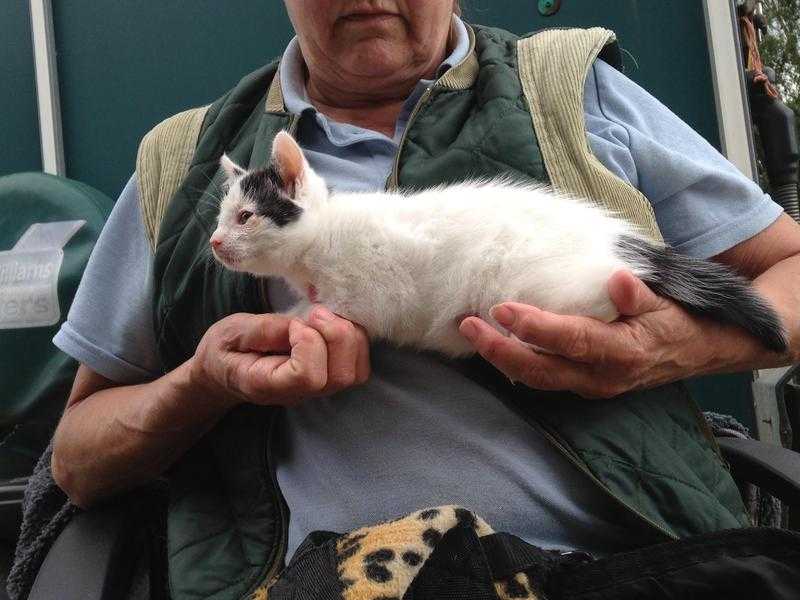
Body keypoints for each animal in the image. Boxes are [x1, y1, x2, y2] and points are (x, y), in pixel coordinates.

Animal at [208, 131, 788, 356]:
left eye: (245, 216)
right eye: (220, 217)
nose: (214, 242)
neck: (322, 239)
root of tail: (620, 240)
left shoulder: (372, 292)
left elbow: (339, 310)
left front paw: (290, 316)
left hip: (538, 283)